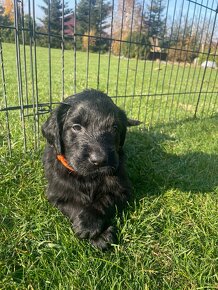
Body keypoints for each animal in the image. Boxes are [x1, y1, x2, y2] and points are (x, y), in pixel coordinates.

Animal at [41, 89, 139, 249]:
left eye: (114, 128)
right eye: (76, 127)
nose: (99, 160)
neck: (88, 178)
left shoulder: (123, 189)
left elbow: (105, 199)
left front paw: (91, 224)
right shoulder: (56, 194)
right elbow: (73, 204)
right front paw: (94, 231)